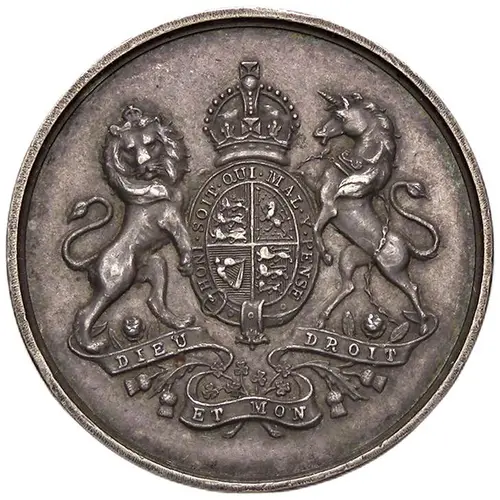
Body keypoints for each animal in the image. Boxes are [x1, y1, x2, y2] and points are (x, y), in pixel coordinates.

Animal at [62, 105, 194, 353]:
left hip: (155, 264)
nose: (145, 165)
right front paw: (187, 260)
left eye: (151, 143)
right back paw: (93, 345)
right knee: (85, 313)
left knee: (154, 301)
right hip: (116, 281)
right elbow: (183, 238)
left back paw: (180, 323)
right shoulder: (169, 217)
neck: (161, 181)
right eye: (129, 150)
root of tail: (93, 260)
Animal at [301, 91, 439, 335]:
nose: (318, 133)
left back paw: (423, 324)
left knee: (412, 288)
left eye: (339, 116)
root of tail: (407, 245)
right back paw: (322, 317)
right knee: (349, 286)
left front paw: (325, 254)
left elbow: (317, 227)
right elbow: (302, 172)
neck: (354, 171)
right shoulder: (316, 184)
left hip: (391, 271)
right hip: (350, 256)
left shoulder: (329, 206)